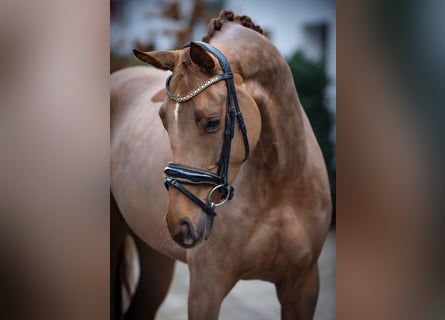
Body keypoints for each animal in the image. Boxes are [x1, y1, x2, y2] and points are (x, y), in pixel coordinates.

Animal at [111, 10, 330, 320]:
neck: (280, 187)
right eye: (163, 119)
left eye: (213, 121)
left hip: (155, 255)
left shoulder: (303, 285)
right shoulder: (206, 288)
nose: (180, 223)